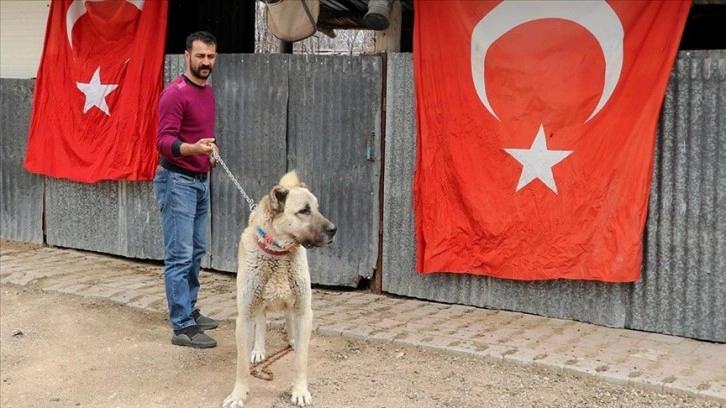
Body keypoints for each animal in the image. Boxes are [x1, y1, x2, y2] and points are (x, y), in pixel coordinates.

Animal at [223, 170, 336, 408]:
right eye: (304, 210)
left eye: (317, 208)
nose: (334, 230)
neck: (279, 254)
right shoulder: (244, 317)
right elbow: (241, 366)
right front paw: (238, 394)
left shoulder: (304, 310)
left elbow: (301, 361)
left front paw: (300, 391)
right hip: (257, 304)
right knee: (261, 324)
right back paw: (258, 350)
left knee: (289, 319)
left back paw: (293, 340)